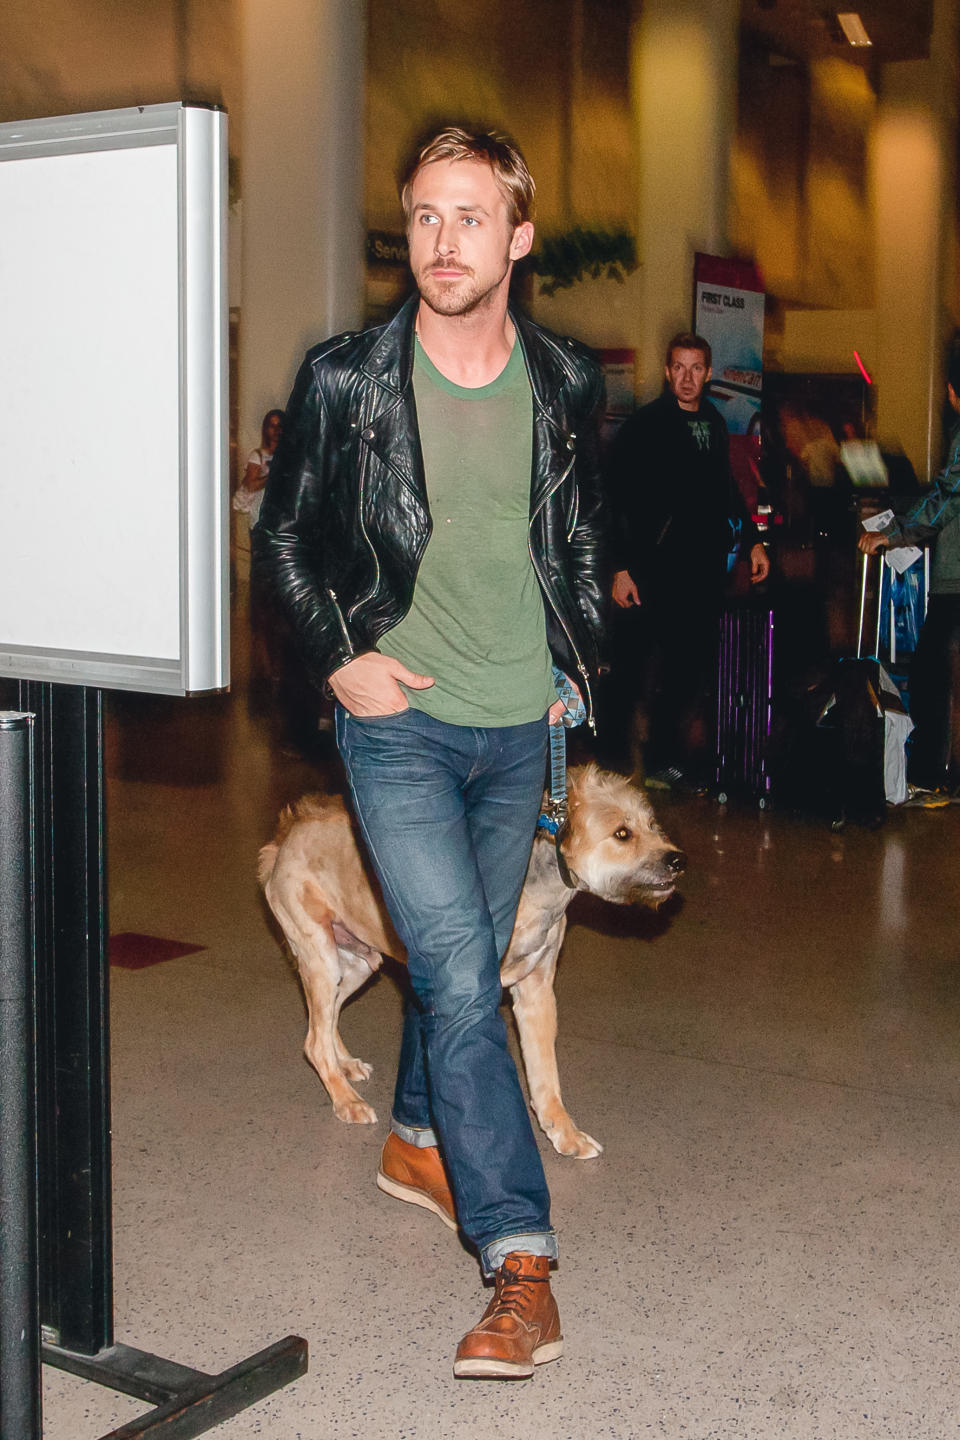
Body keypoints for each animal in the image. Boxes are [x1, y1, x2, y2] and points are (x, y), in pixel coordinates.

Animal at [259, 766, 687, 1157]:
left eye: (653, 825)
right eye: (622, 834)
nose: (678, 860)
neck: (537, 890)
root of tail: (285, 834)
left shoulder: (536, 991)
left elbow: (546, 1077)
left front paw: (564, 1134)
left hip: (357, 963)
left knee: (325, 1021)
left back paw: (345, 1065)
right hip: (321, 957)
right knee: (314, 1041)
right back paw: (346, 1100)